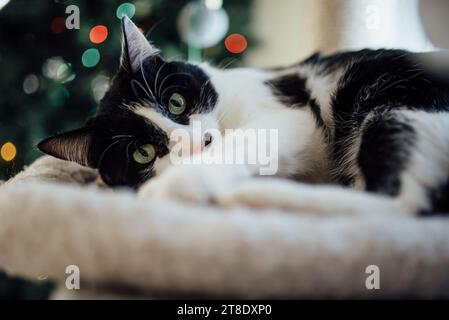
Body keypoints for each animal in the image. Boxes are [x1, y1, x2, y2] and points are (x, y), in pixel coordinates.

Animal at [38, 18, 448, 218]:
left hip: (394, 101)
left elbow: (253, 139)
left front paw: (182, 184)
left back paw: (251, 198)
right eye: (142, 153)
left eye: (175, 102)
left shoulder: (293, 114)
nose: (198, 143)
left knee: (403, 203)